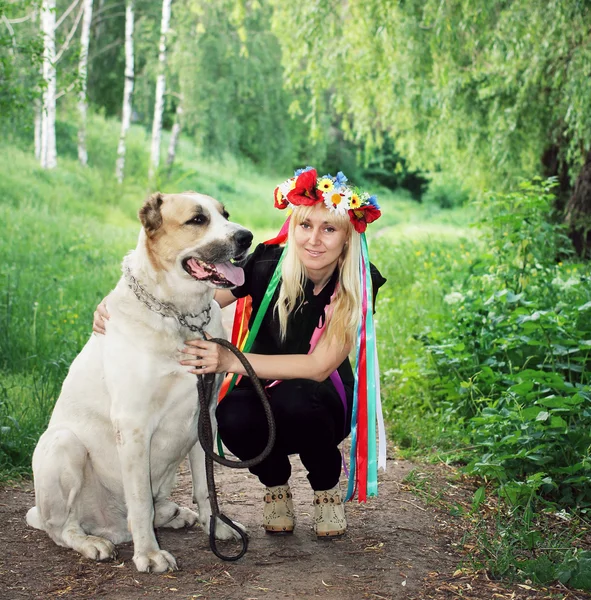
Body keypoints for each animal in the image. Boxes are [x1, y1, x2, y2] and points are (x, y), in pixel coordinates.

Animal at [26, 191, 252, 572]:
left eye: (225, 214)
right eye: (197, 220)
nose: (247, 237)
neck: (180, 316)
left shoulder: (205, 415)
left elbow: (207, 488)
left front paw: (217, 527)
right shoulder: (133, 424)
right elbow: (140, 499)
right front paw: (148, 553)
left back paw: (173, 514)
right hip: (63, 445)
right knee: (62, 528)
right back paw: (92, 542)